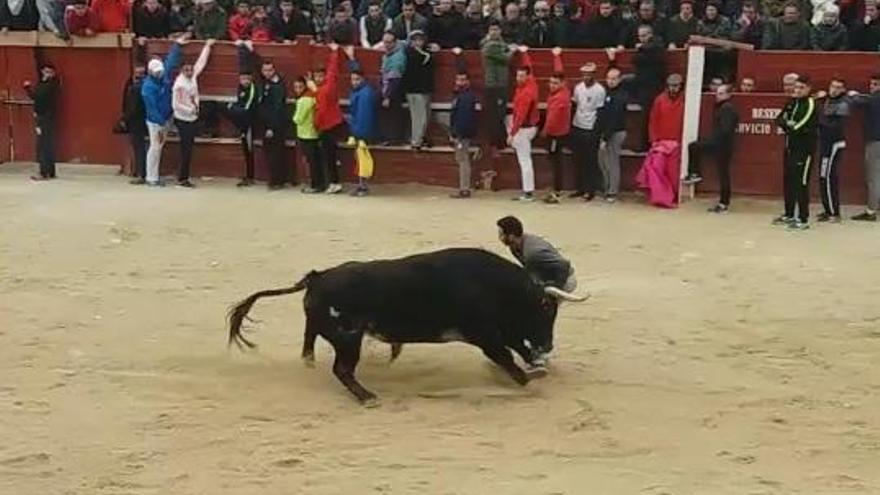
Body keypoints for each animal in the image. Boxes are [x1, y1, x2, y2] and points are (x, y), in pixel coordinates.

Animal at [227, 247, 588, 404]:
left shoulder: (498, 330)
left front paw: (536, 369)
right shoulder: (483, 333)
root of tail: (318, 277)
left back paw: (310, 362)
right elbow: (506, 356)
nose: (548, 345)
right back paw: (368, 397)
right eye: (546, 309)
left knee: (311, 339)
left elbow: (513, 349)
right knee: (342, 369)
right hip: (349, 338)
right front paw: (529, 380)